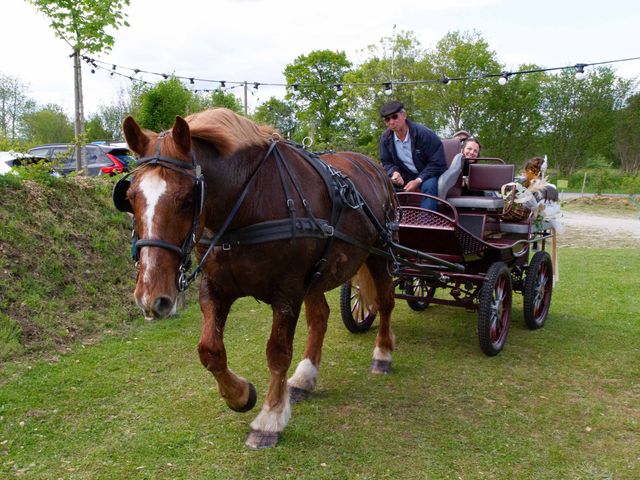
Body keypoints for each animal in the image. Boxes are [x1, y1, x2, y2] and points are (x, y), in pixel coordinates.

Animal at [114, 109, 396, 450]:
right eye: (130, 198)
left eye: (185, 200)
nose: (151, 297)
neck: (247, 203)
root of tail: (373, 166)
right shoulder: (216, 288)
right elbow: (209, 350)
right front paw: (240, 394)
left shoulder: (287, 293)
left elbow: (277, 353)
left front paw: (270, 418)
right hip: (318, 273)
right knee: (320, 317)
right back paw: (305, 377)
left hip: (380, 254)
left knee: (386, 301)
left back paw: (383, 354)